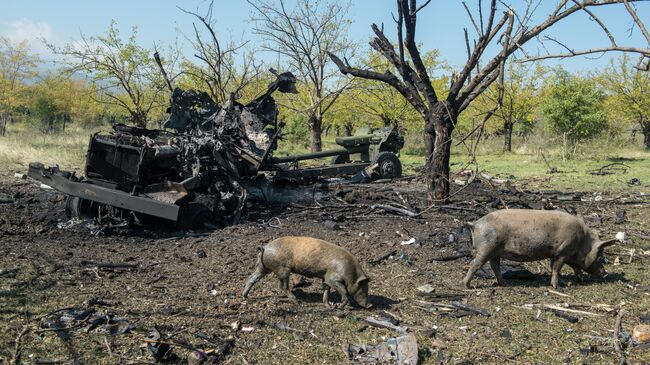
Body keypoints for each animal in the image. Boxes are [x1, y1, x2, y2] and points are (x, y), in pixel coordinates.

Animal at [240, 236, 370, 308]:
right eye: (362, 289)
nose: (370, 305)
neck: (350, 273)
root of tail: (265, 247)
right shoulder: (332, 278)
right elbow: (343, 291)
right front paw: (339, 306)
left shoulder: (325, 277)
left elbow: (326, 289)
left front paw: (328, 305)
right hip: (282, 269)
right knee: (282, 286)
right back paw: (297, 302)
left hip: (262, 267)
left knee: (252, 278)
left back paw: (245, 296)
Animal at [464, 209, 616, 288]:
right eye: (601, 257)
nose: (605, 273)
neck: (582, 242)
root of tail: (476, 223)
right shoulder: (563, 251)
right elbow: (557, 268)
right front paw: (556, 286)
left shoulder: (559, 254)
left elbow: (567, 267)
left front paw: (577, 280)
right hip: (487, 248)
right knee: (474, 264)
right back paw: (467, 285)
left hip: (495, 252)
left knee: (495, 266)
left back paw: (505, 283)